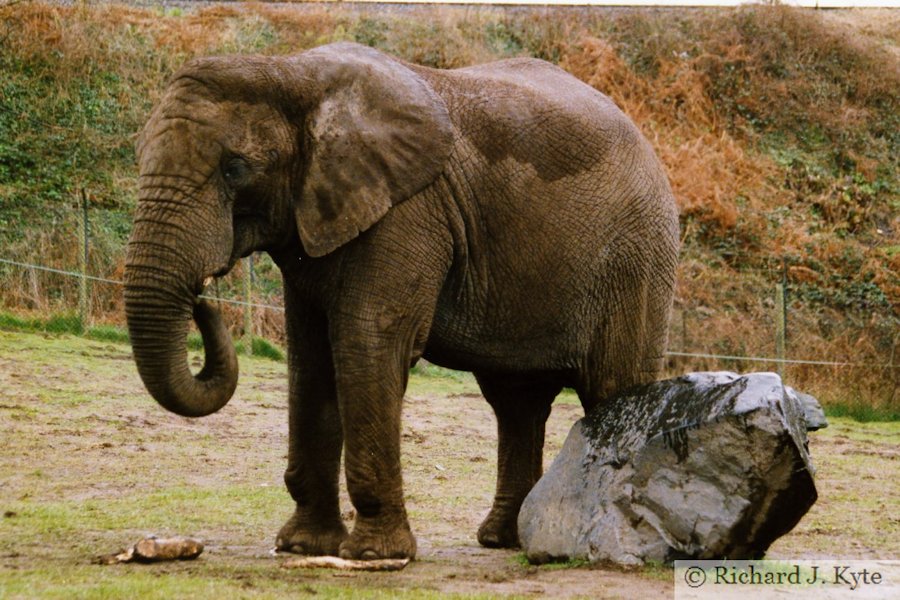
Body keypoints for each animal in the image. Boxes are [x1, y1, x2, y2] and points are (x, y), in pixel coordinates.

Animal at [123, 42, 680, 564]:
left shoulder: (409, 212)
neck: (290, 73)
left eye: (235, 169)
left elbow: (367, 342)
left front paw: (374, 555)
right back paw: (502, 540)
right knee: (515, 402)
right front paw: (302, 546)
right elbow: (312, 358)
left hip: (636, 261)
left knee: (612, 387)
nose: (203, 298)